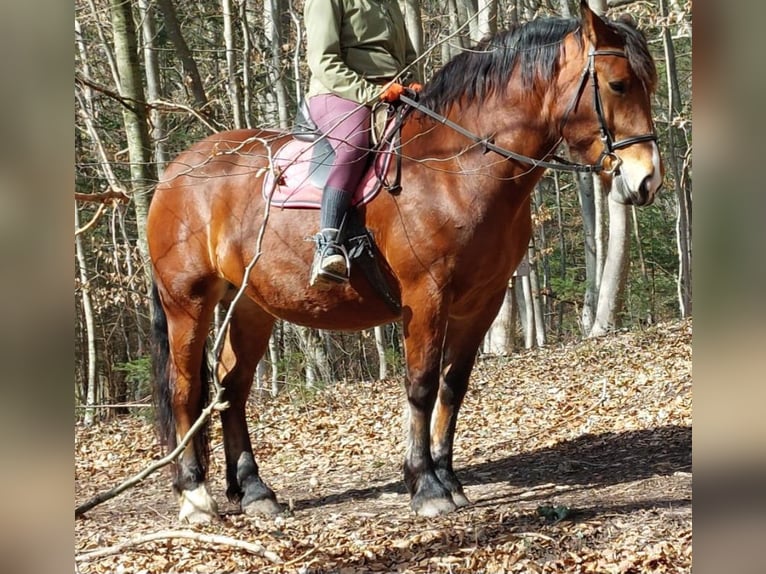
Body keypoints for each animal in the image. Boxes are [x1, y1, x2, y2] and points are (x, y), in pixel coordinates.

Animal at [150, 0, 664, 524]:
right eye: (618, 84)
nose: (647, 180)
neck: (456, 168)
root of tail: (175, 173)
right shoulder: (426, 296)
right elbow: (420, 385)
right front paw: (426, 486)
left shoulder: (482, 302)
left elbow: (453, 386)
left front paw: (450, 480)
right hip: (187, 302)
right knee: (185, 389)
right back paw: (195, 495)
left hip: (252, 304)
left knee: (232, 389)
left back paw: (254, 491)